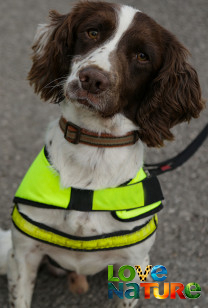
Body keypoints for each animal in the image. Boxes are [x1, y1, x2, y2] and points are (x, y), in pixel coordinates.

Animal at [0, 1, 205, 306]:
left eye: (142, 56)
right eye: (93, 32)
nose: (92, 79)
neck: (94, 148)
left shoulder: (133, 263)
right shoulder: (23, 255)